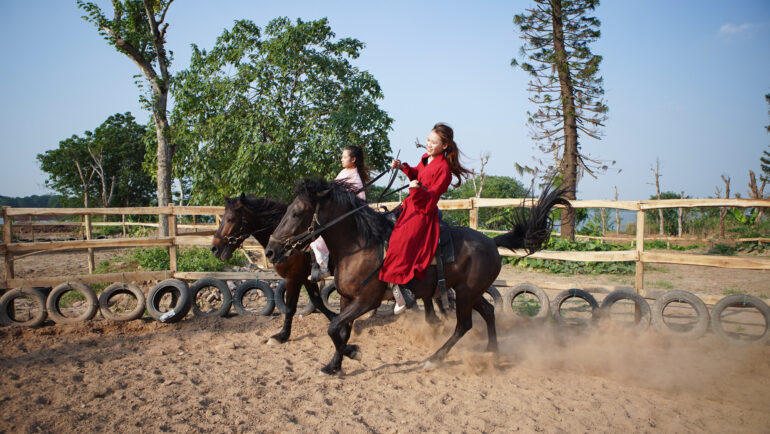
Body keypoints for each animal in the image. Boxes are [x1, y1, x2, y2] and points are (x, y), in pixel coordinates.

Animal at [266, 178, 568, 374]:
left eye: (296, 213)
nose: (270, 250)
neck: (360, 245)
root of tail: (492, 243)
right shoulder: (346, 299)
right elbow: (339, 328)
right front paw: (334, 365)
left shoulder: (367, 301)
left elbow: (333, 328)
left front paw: (353, 352)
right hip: (470, 292)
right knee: (489, 311)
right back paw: (492, 353)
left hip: (466, 294)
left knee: (464, 325)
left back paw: (434, 359)